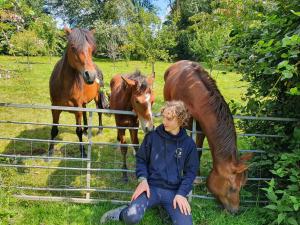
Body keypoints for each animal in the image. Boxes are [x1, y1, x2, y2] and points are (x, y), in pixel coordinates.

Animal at [48, 27, 105, 158]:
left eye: (91, 49)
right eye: (73, 47)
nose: (91, 75)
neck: (64, 86)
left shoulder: (77, 108)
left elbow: (77, 130)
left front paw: (83, 152)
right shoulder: (55, 108)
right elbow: (54, 130)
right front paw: (50, 152)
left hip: (97, 97)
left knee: (99, 110)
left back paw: (100, 130)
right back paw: (86, 130)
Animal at [164, 59, 253, 213]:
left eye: (242, 186)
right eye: (232, 188)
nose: (235, 211)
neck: (196, 95)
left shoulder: (201, 129)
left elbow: (198, 151)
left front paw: (196, 176)